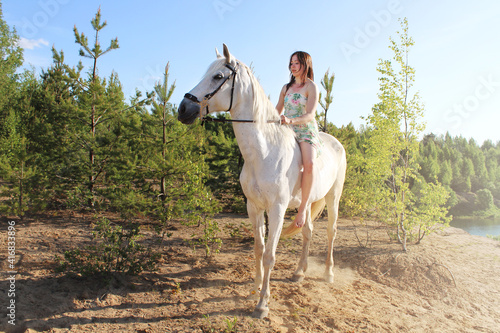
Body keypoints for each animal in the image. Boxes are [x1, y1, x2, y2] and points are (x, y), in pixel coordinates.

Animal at [178, 43, 346, 316]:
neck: (264, 152)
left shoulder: (276, 209)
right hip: (307, 203)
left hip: (333, 197)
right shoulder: (254, 207)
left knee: (331, 231)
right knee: (307, 231)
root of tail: (336, 142)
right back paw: (299, 272)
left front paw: (262, 304)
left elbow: (269, 254)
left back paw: (328, 274)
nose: (183, 108)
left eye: (218, 76)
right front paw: (255, 285)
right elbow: (258, 247)